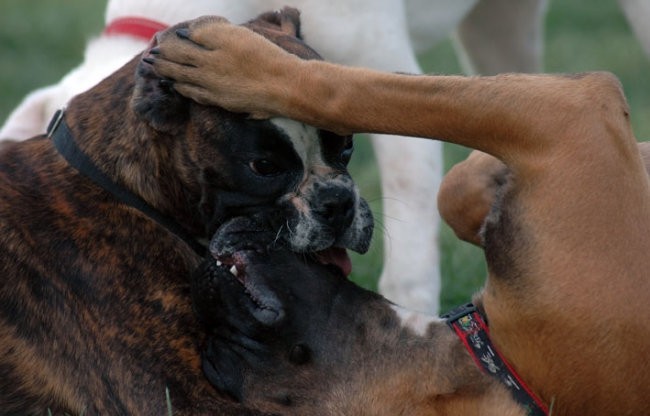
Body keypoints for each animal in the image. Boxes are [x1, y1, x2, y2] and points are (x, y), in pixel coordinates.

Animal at [149, 16, 644, 416]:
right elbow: (452, 183)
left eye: (295, 357)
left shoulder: (569, 116)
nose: (213, 346)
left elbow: (355, 92)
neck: (503, 364)